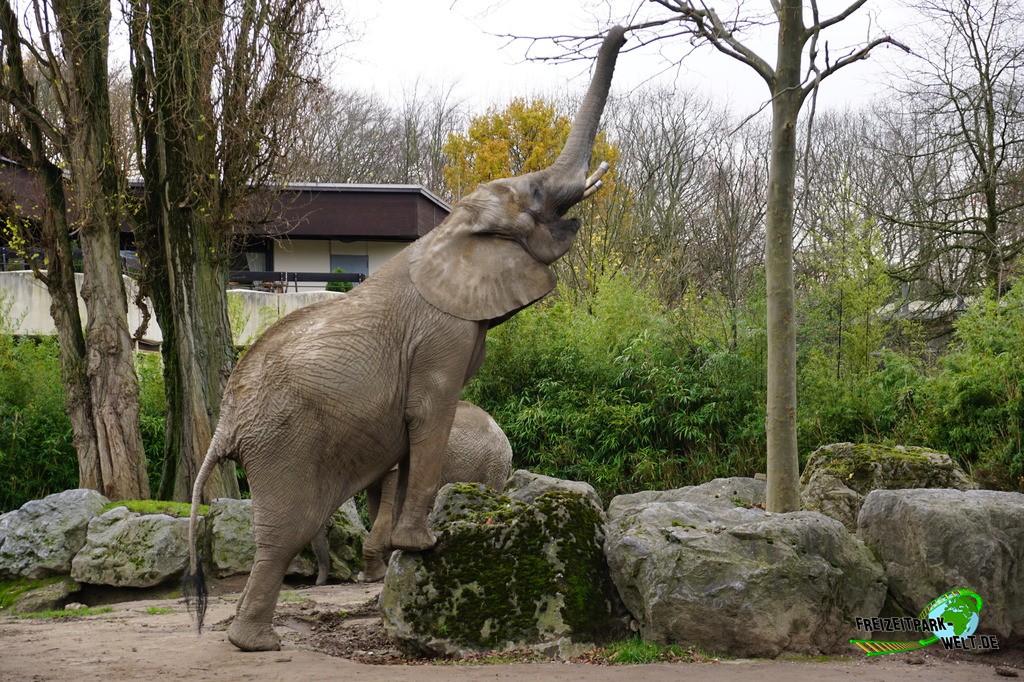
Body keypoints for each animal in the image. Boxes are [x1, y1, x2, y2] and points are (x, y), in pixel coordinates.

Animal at [307, 399, 507, 585]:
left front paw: (369, 577)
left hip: (494, 466)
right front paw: (385, 569)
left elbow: (386, 511)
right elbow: (374, 510)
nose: (318, 582)